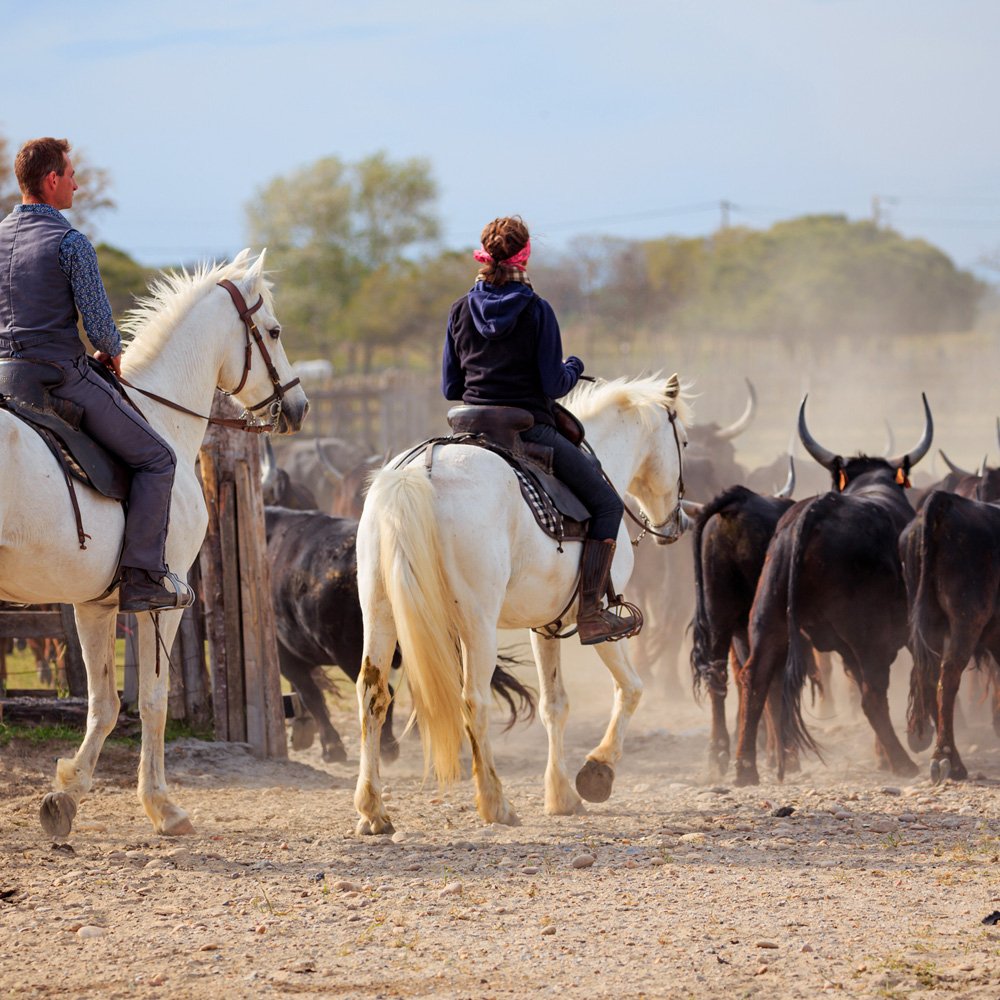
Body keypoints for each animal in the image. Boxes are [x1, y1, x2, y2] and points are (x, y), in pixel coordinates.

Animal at [0, 248, 308, 836]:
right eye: (275, 331)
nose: (299, 407)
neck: (161, 415)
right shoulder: (161, 602)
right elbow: (154, 701)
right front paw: (163, 806)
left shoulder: (95, 604)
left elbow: (104, 704)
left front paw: (66, 795)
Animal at [262, 512, 536, 760]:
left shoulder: (287, 658)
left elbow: (311, 696)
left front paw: (332, 747)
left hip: (351, 650)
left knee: (384, 692)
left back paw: (388, 748)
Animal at [352, 372, 688, 832]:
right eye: (683, 441)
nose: (678, 523)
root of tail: (421, 473)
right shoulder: (599, 623)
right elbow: (631, 688)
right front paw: (597, 771)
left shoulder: (545, 625)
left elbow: (554, 705)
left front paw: (561, 795)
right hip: (477, 625)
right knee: (473, 700)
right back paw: (496, 803)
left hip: (380, 613)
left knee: (373, 696)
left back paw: (373, 809)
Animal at [732, 394, 932, 784]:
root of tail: (815, 512)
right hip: (868, 639)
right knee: (872, 696)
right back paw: (903, 762)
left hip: (768, 620)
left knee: (755, 679)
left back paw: (745, 769)